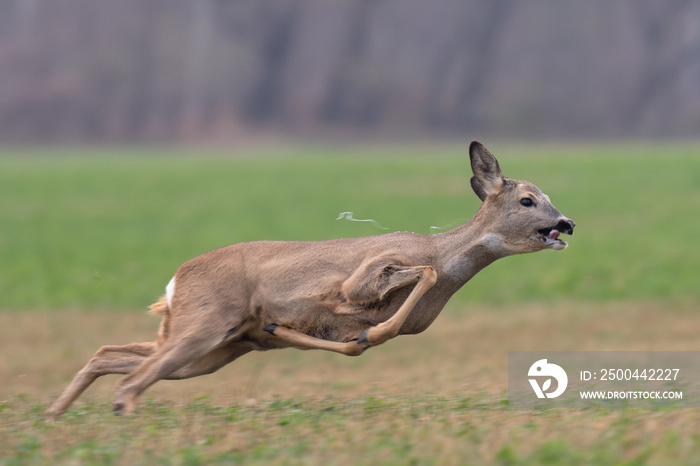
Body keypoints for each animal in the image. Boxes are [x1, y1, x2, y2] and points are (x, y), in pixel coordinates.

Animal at [45, 140, 576, 416]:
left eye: (549, 197)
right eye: (528, 200)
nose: (566, 223)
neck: (446, 257)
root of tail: (174, 283)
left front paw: (327, 333)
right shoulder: (366, 273)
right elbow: (385, 300)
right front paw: (359, 330)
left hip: (212, 349)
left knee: (113, 355)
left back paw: (55, 414)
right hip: (206, 323)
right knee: (132, 379)